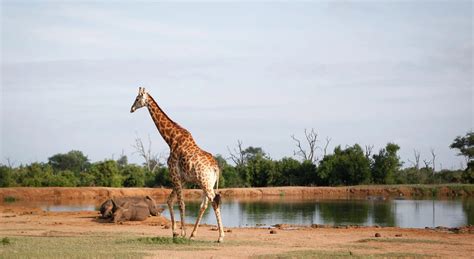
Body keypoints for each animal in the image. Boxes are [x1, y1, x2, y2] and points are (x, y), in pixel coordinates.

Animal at [130, 87, 226, 244]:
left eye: (137, 99)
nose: (131, 108)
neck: (171, 139)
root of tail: (215, 167)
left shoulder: (174, 174)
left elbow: (181, 204)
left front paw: (182, 233)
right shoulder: (183, 179)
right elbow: (170, 201)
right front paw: (176, 232)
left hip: (205, 182)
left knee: (215, 201)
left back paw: (220, 237)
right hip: (207, 183)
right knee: (205, 204)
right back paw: (194, 234)